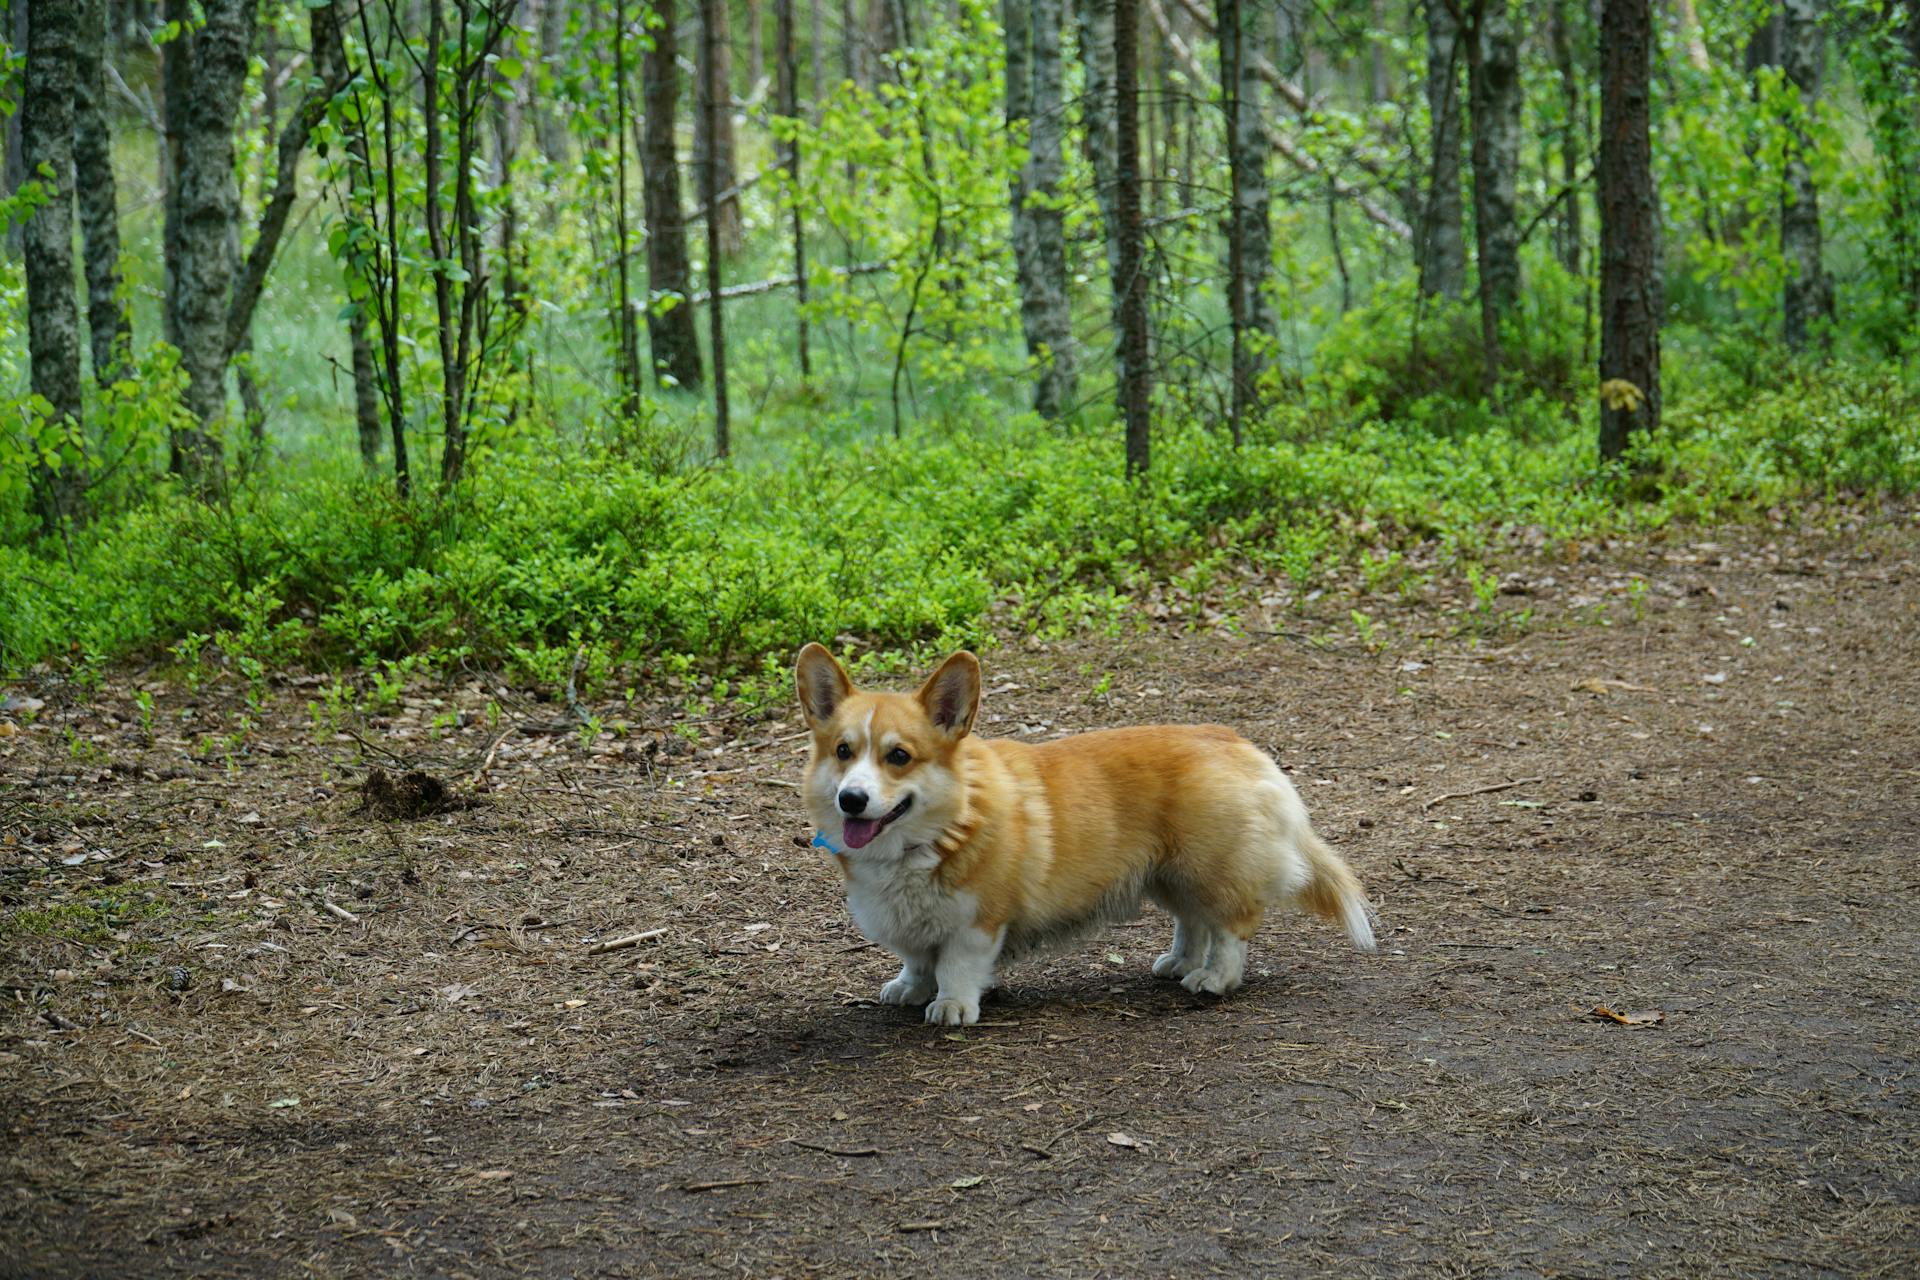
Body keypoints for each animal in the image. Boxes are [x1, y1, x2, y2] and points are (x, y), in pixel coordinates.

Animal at [794, 644, 1382, 1028]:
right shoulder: (912, 925)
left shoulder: (979, 921)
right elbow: (918, 959)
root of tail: (1238, 743)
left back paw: (1214, 979)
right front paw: (911, 989)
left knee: (1231, 928)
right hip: (1169, 873)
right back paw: (1180, 963)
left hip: (1209, 868)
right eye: (843, 751)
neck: (943, 827)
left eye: (898, 756)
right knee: (1194, 921)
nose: (852, 799)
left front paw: (953, 1005)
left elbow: (957, 965)